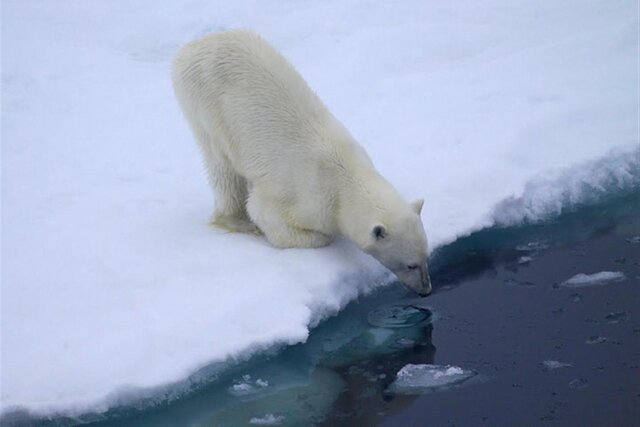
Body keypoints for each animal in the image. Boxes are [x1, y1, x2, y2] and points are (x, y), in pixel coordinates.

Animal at [172, 30, 431, 296]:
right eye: (410, 264)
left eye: (427, 256)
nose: (426, 289)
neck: (345, 176)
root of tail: (194, 45)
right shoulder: (309, 196)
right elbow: (267, 212)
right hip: (204, 102)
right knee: (222, 165)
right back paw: (238, 221)